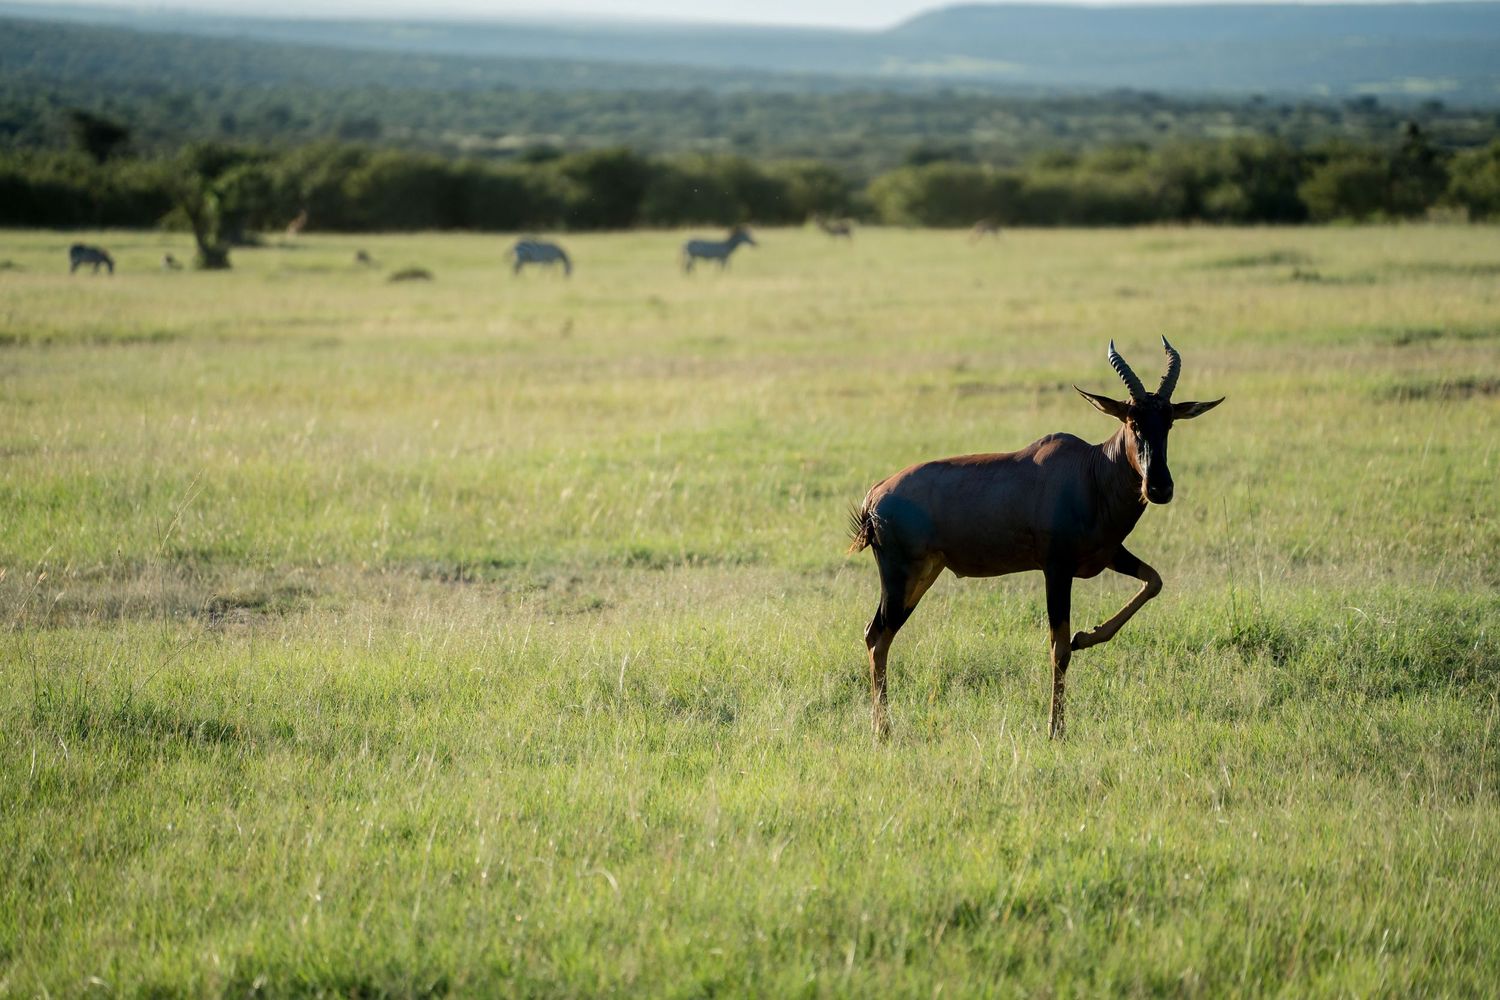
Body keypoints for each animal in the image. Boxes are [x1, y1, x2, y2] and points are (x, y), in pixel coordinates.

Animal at [847, 339, 1223, 740]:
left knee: (875, 634)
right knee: (878, 637)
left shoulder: (1108, 555)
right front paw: (1055, 730)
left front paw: (1086, 636)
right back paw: (883, 731)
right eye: (1131, 420)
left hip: (924, 574)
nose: (1159, 488)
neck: (1091, 471)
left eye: (1168, 421)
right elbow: (1059, 648)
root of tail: (873, 498)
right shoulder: (1056, 569)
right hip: (901, 576)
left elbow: (1153, 581)